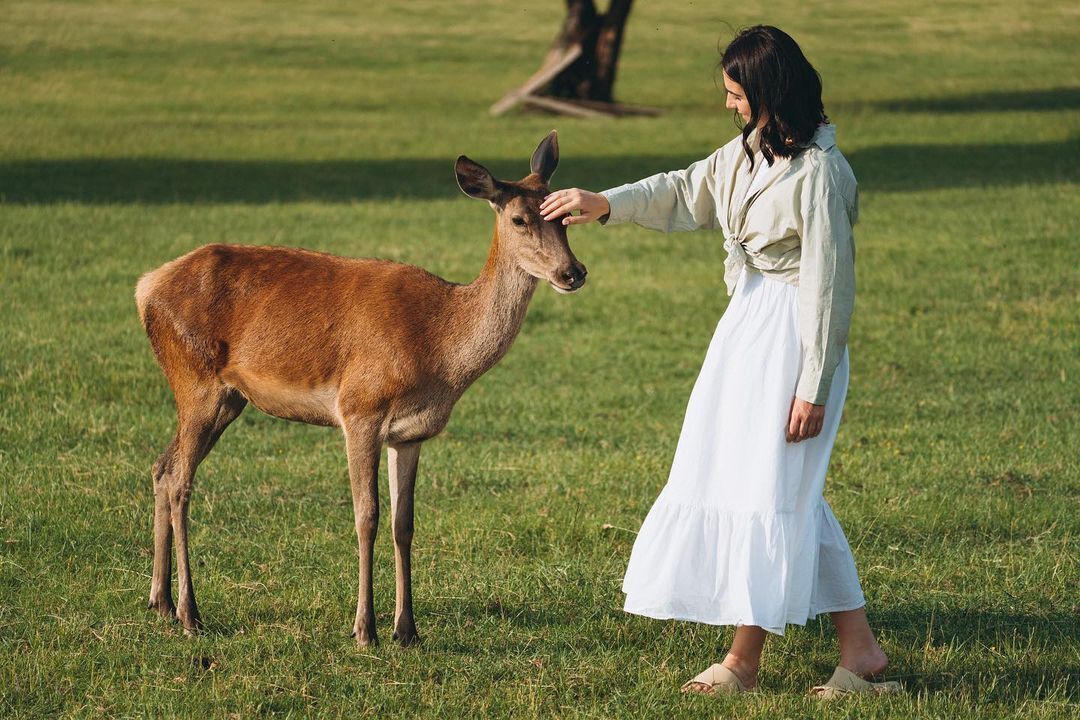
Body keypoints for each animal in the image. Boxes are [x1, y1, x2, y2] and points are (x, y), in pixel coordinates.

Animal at [136, 131, 591, 647]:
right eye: (519, 219)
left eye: (566, 218)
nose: (573, 272)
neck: (439, 348)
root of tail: (145, 287)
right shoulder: (359, 409)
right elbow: (366, 516)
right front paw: (364, 628)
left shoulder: (411, 433)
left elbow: (404, 523)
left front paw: (407, 629)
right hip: (196, 381)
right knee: (180, 480)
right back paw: (190, 613)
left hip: (225, 398)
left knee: (161, 466)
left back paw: (160, 602)